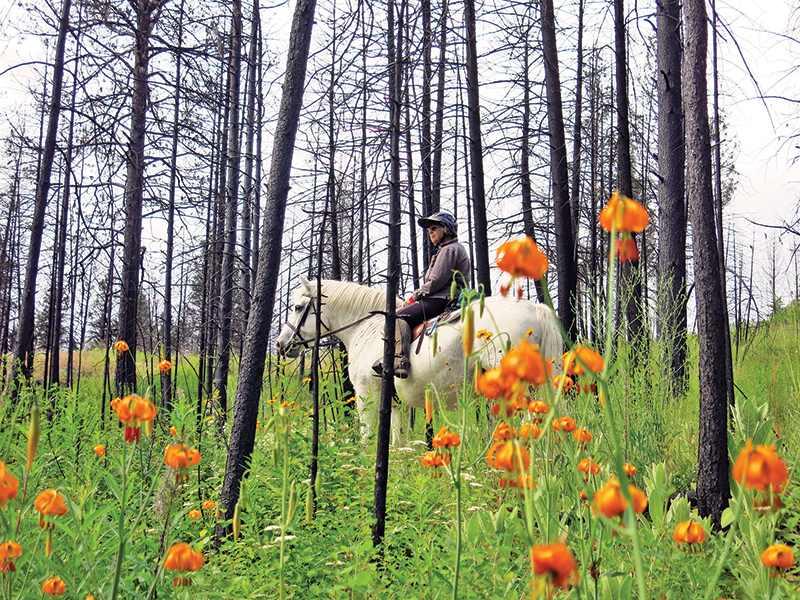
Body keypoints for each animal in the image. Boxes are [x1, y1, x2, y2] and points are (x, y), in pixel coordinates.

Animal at [276, 276, 563, 442]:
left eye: (298, 307)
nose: (280, 343)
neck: (367, 329)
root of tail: (533, 308)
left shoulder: (367, 395)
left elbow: (367, 437)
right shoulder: (397, 405)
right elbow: (397, 443)